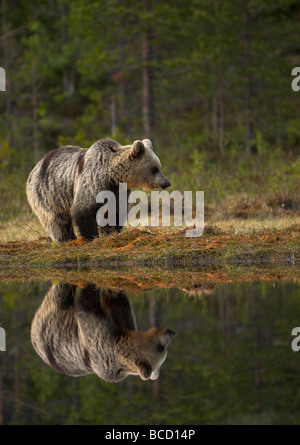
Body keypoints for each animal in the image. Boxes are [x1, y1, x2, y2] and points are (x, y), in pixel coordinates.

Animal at [26, 140, 170, 241]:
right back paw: (66, 239)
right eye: (154, 168)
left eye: (160, 167)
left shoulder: (118, 192)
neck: (112, 176)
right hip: (47, 194)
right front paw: (92, 236)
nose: (166, 183)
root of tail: (34, 168)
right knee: (56, 221)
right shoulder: (92, 183)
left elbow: (114, 212)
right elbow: (84, 210)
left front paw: (111, 232)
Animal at [30, 284, 175, 382]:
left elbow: (88, 307)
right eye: (161, 347)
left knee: (59, 293)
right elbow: (115, 302)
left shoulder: (101, 344)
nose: (171, 332)